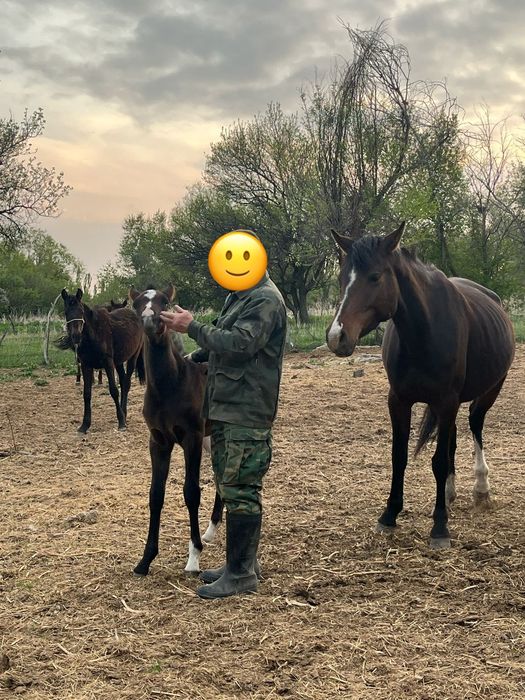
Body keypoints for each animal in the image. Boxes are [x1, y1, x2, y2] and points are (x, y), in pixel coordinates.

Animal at [60, 288, 144, 433]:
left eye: (81, 311)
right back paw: (124, 412)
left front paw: (121, 422)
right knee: (123, 380)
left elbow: (114, 390)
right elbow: (87, 394)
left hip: (132, 357)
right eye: (66, 312)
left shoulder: (108, 363)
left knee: (126, 383)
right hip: (119, 362)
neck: (94, 333)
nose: (75, 336)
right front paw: (84, 425)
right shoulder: (86, 365)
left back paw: (124, 415)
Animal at [130, 284, 223, 575]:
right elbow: (155, 495)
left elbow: (191, 492)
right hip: (211, 438)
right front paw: (145, 560)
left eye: (165, 301)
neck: (169, 386)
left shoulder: (191, 439)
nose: (150, 320)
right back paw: (210, 531)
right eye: (137, 304)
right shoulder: (159, 441)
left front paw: (194, 557)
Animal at [326, 222, 515, 548]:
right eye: (341, 278)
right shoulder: (399, 400)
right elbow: (399, 456)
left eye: (375, 276)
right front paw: (389, 515)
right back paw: (450, 493)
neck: (422, 332)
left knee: (475, 426)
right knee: (452, 437)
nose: (337, 337)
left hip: (489, 390)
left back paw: (481, 488)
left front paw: (439, 527)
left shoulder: (446, 400)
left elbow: (437, 461)